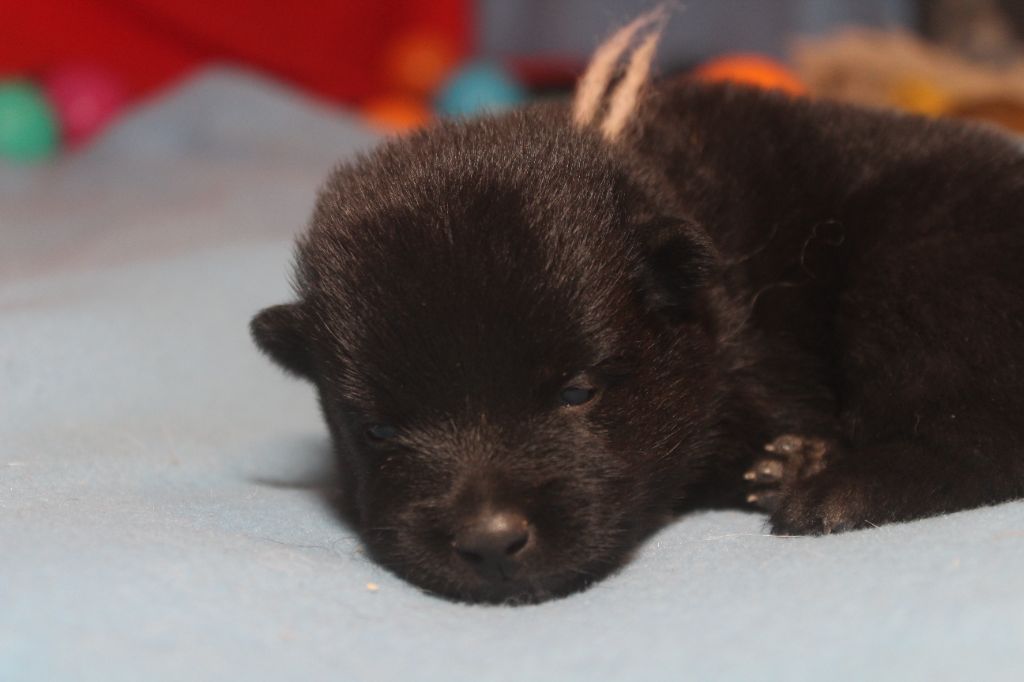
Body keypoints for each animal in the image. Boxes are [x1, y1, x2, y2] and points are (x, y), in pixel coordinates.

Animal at [249, 7, 1024, 598]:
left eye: (578, 392)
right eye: (376, 430)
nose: (490, 542)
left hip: (920, 278)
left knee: (981, 435)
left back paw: (834, 491)